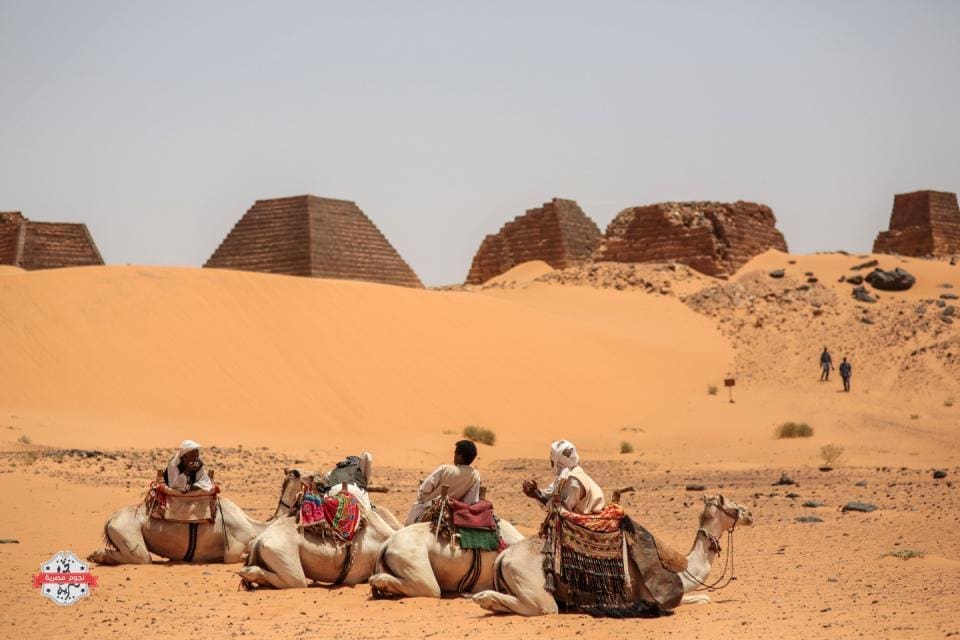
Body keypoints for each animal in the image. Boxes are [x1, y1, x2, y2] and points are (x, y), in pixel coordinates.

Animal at [472, 496, 756, 616]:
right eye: (732, 505)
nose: (750, 513)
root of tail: (504, 557)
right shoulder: (654, 596)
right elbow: (701, 599)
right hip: (537, 591)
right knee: (543, 608)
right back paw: (483, 598)